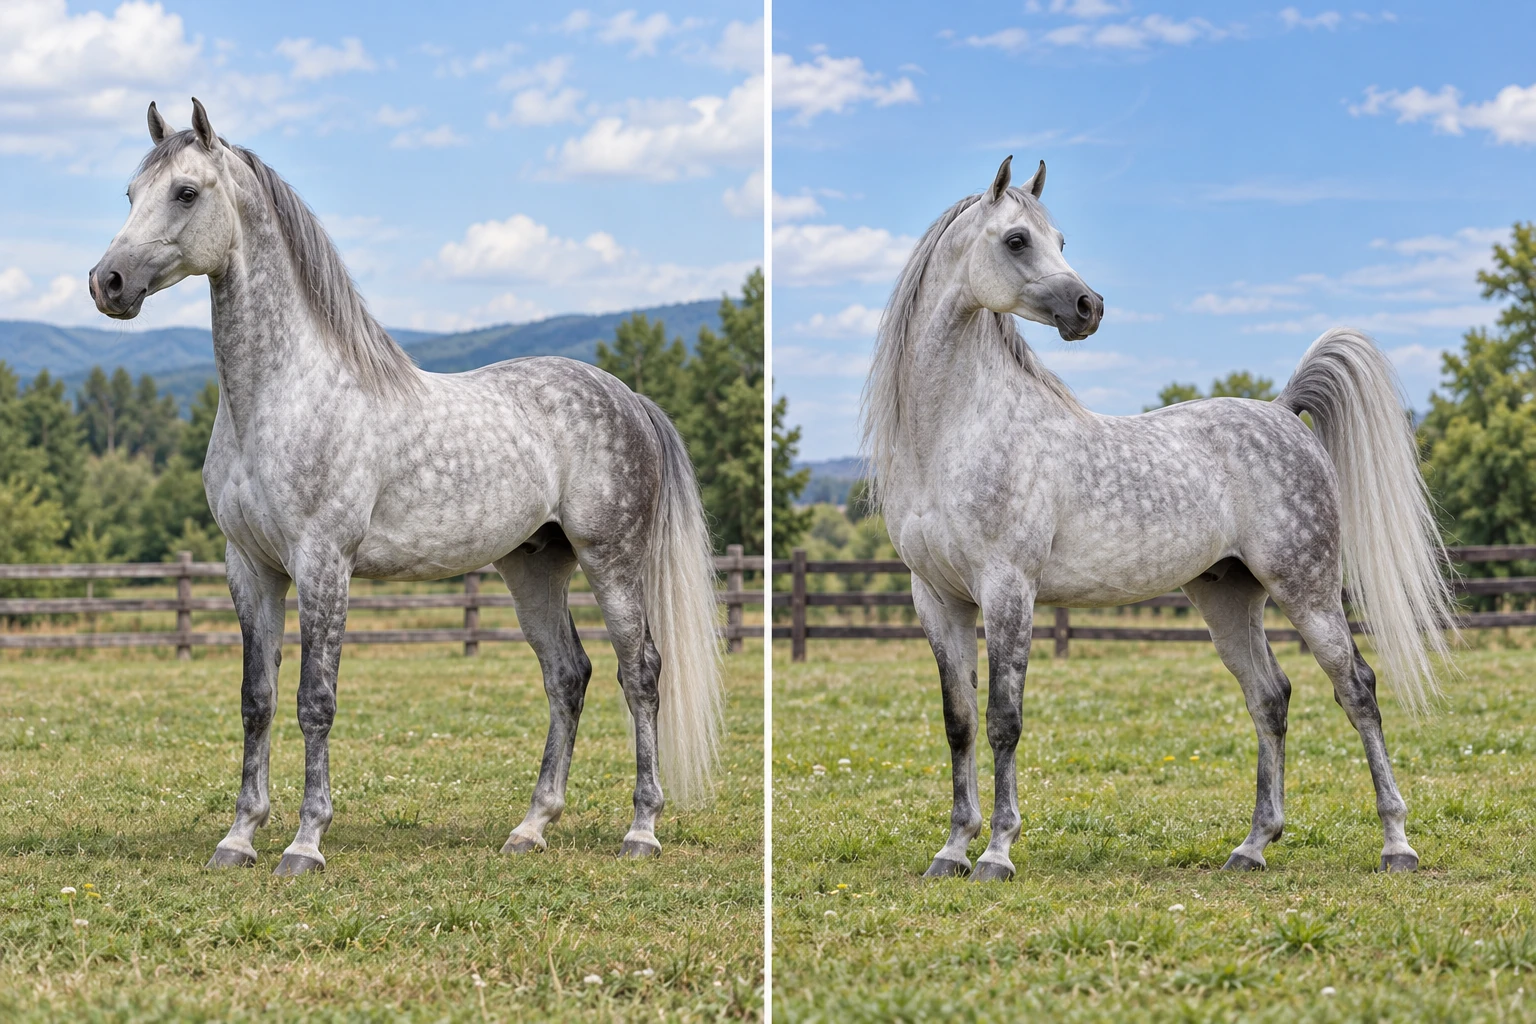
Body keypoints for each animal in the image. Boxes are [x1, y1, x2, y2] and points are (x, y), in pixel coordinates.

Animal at [88, 99, 722, 876]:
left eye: (185, 192)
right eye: (129, 194)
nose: (108, 283)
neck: (280, 395)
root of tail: (627, 396)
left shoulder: (323, 563)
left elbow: (315, 700)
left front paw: (305, 843)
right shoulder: (251, 568)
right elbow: (257, 700)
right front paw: (238, 837)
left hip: (612, 561)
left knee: (642, 673)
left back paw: (641, 830)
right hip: (534, 567)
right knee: (568, 676)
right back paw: (531, 827)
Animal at [860, 156, 1456, 881]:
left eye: (1060, 239)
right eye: (1017, 240)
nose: (1089, 307)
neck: (955, 433)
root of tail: (1283, 412)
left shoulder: (1008, 589)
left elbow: (1004, 719)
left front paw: (998, 853)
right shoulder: (937, 598)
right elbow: (960, 722)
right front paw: (951, 850)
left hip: (1307, 590)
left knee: (1358, 690)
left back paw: (1396, 843)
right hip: (1228, 596)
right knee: (1271, 696)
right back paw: (1253, 846)